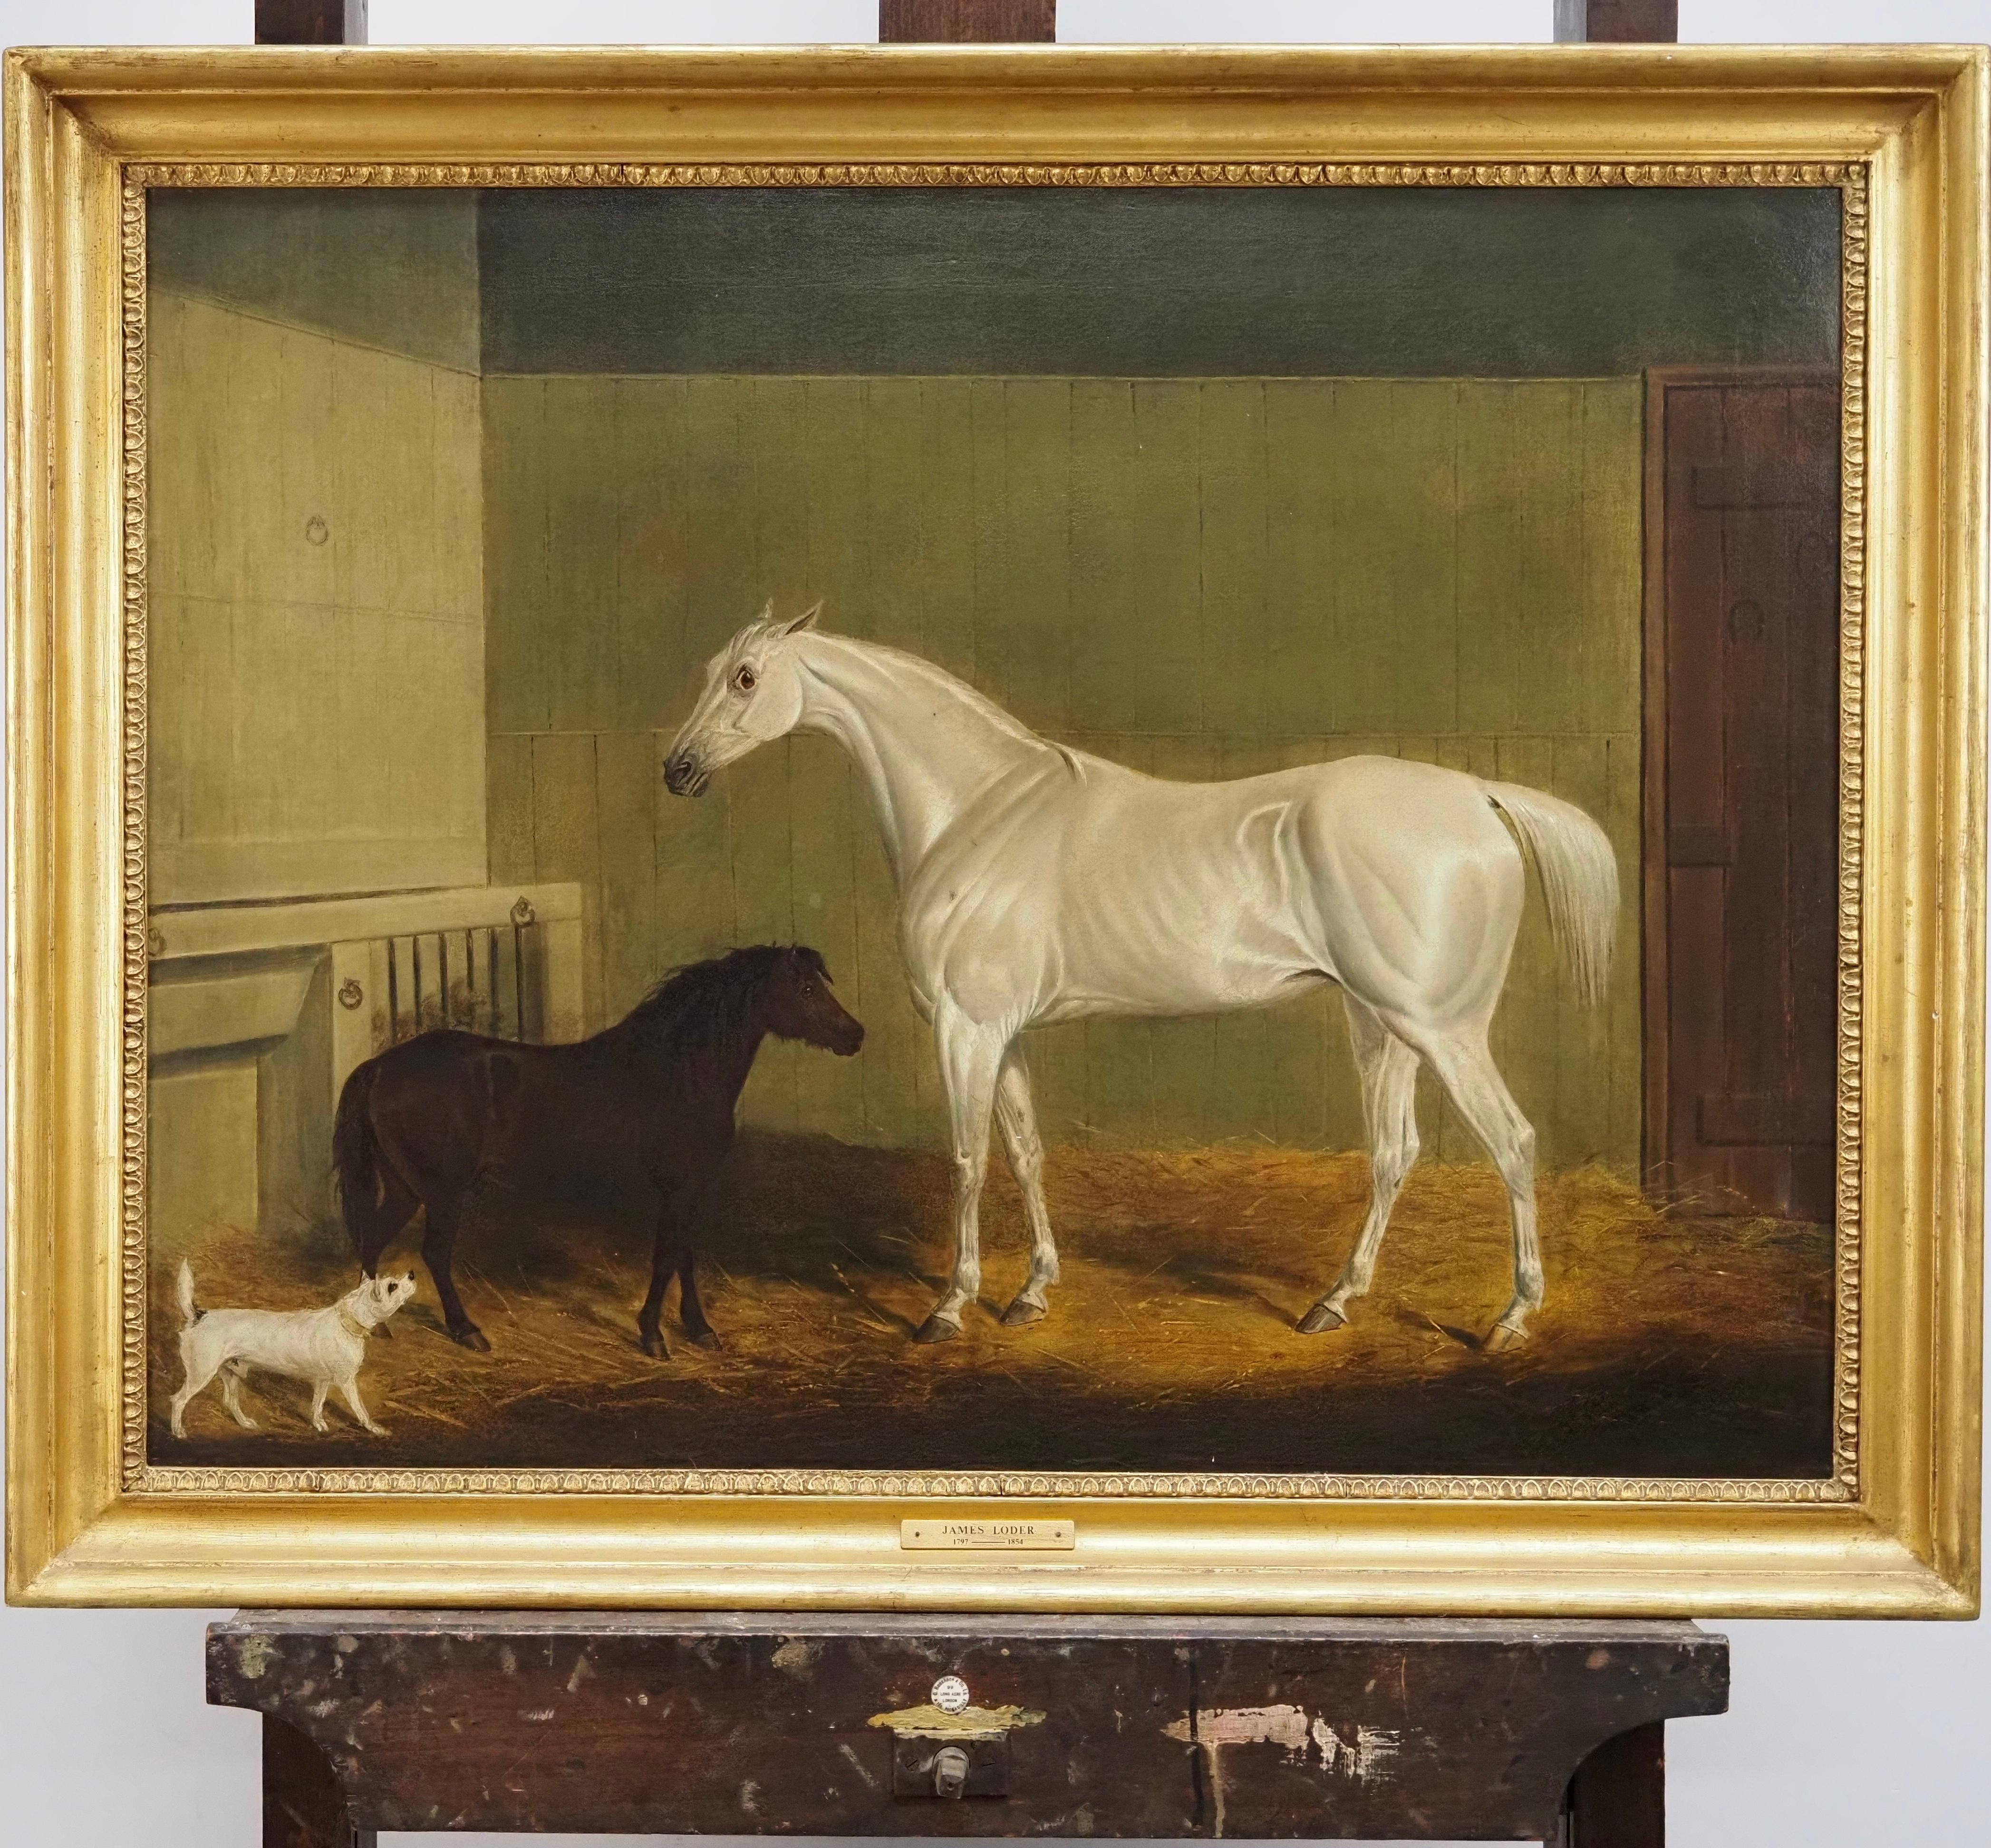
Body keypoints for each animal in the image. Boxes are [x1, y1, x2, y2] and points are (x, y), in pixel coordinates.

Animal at [169, 1258, 418, 1442]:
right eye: (392, 1286)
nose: (412, 1274)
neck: (346, 1321)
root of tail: (199, 1316)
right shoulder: (347, 1381)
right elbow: (361, 1410)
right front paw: (375, 1429)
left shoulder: (322, 1381)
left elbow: (317, 1405)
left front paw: (319, 1425)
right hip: (201, 1374)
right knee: (178, 1400)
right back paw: (178, 1432)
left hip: (231, 1374)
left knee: (230, 1402)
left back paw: (246, 1423)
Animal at [332, 940, 864, 1354]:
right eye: (807, 989)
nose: (855, 1035)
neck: (678, 1072)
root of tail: (381, 1066)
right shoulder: (678, 1187)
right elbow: (667, 1258)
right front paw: (653, 1336)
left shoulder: (688, 1189)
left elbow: (684, 1255)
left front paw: (700, 1329)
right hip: (443, 1194)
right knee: (435, 1254)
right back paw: (467, 1332)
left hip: (406, 1189)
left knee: (373, 1239)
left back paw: (375, 1329)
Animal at [669, 613, 1616, 1346]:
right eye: (711, 673)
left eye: (746, 678)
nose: (676, 770)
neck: (981, 812)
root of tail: (1477, 797)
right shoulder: (1004, 1033)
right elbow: (1026, 1152)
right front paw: (1031, 1293)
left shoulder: (966, 1028)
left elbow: (970, 1158)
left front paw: (948, 1308)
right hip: (1381, 1024)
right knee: (1395, 1153)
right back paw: (1334, 1303)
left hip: (1441, 1029)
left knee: (1512, 1142)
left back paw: (1509, 1319)